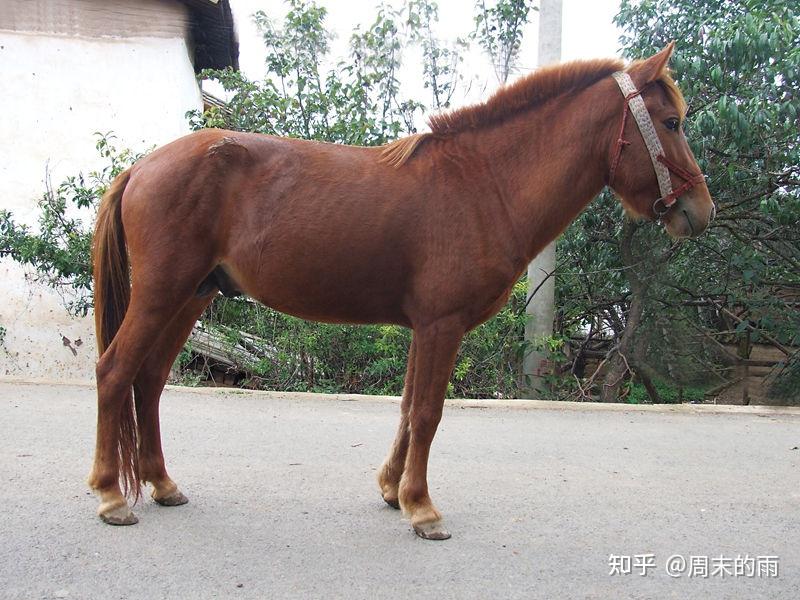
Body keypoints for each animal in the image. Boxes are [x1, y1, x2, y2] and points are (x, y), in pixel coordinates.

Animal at [88, 43, 714, 539]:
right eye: (672, 122)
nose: (699, 212)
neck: (483, 184)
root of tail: (141, 166)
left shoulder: (423, 326)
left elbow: (409, 408)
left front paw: (392, 491)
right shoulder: (442, 325)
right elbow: (429, 413)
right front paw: (422, 507)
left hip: (192, 296)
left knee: (150, 379)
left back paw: (162, 482)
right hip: (162, 293)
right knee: (115, 372)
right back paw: (112, 494)